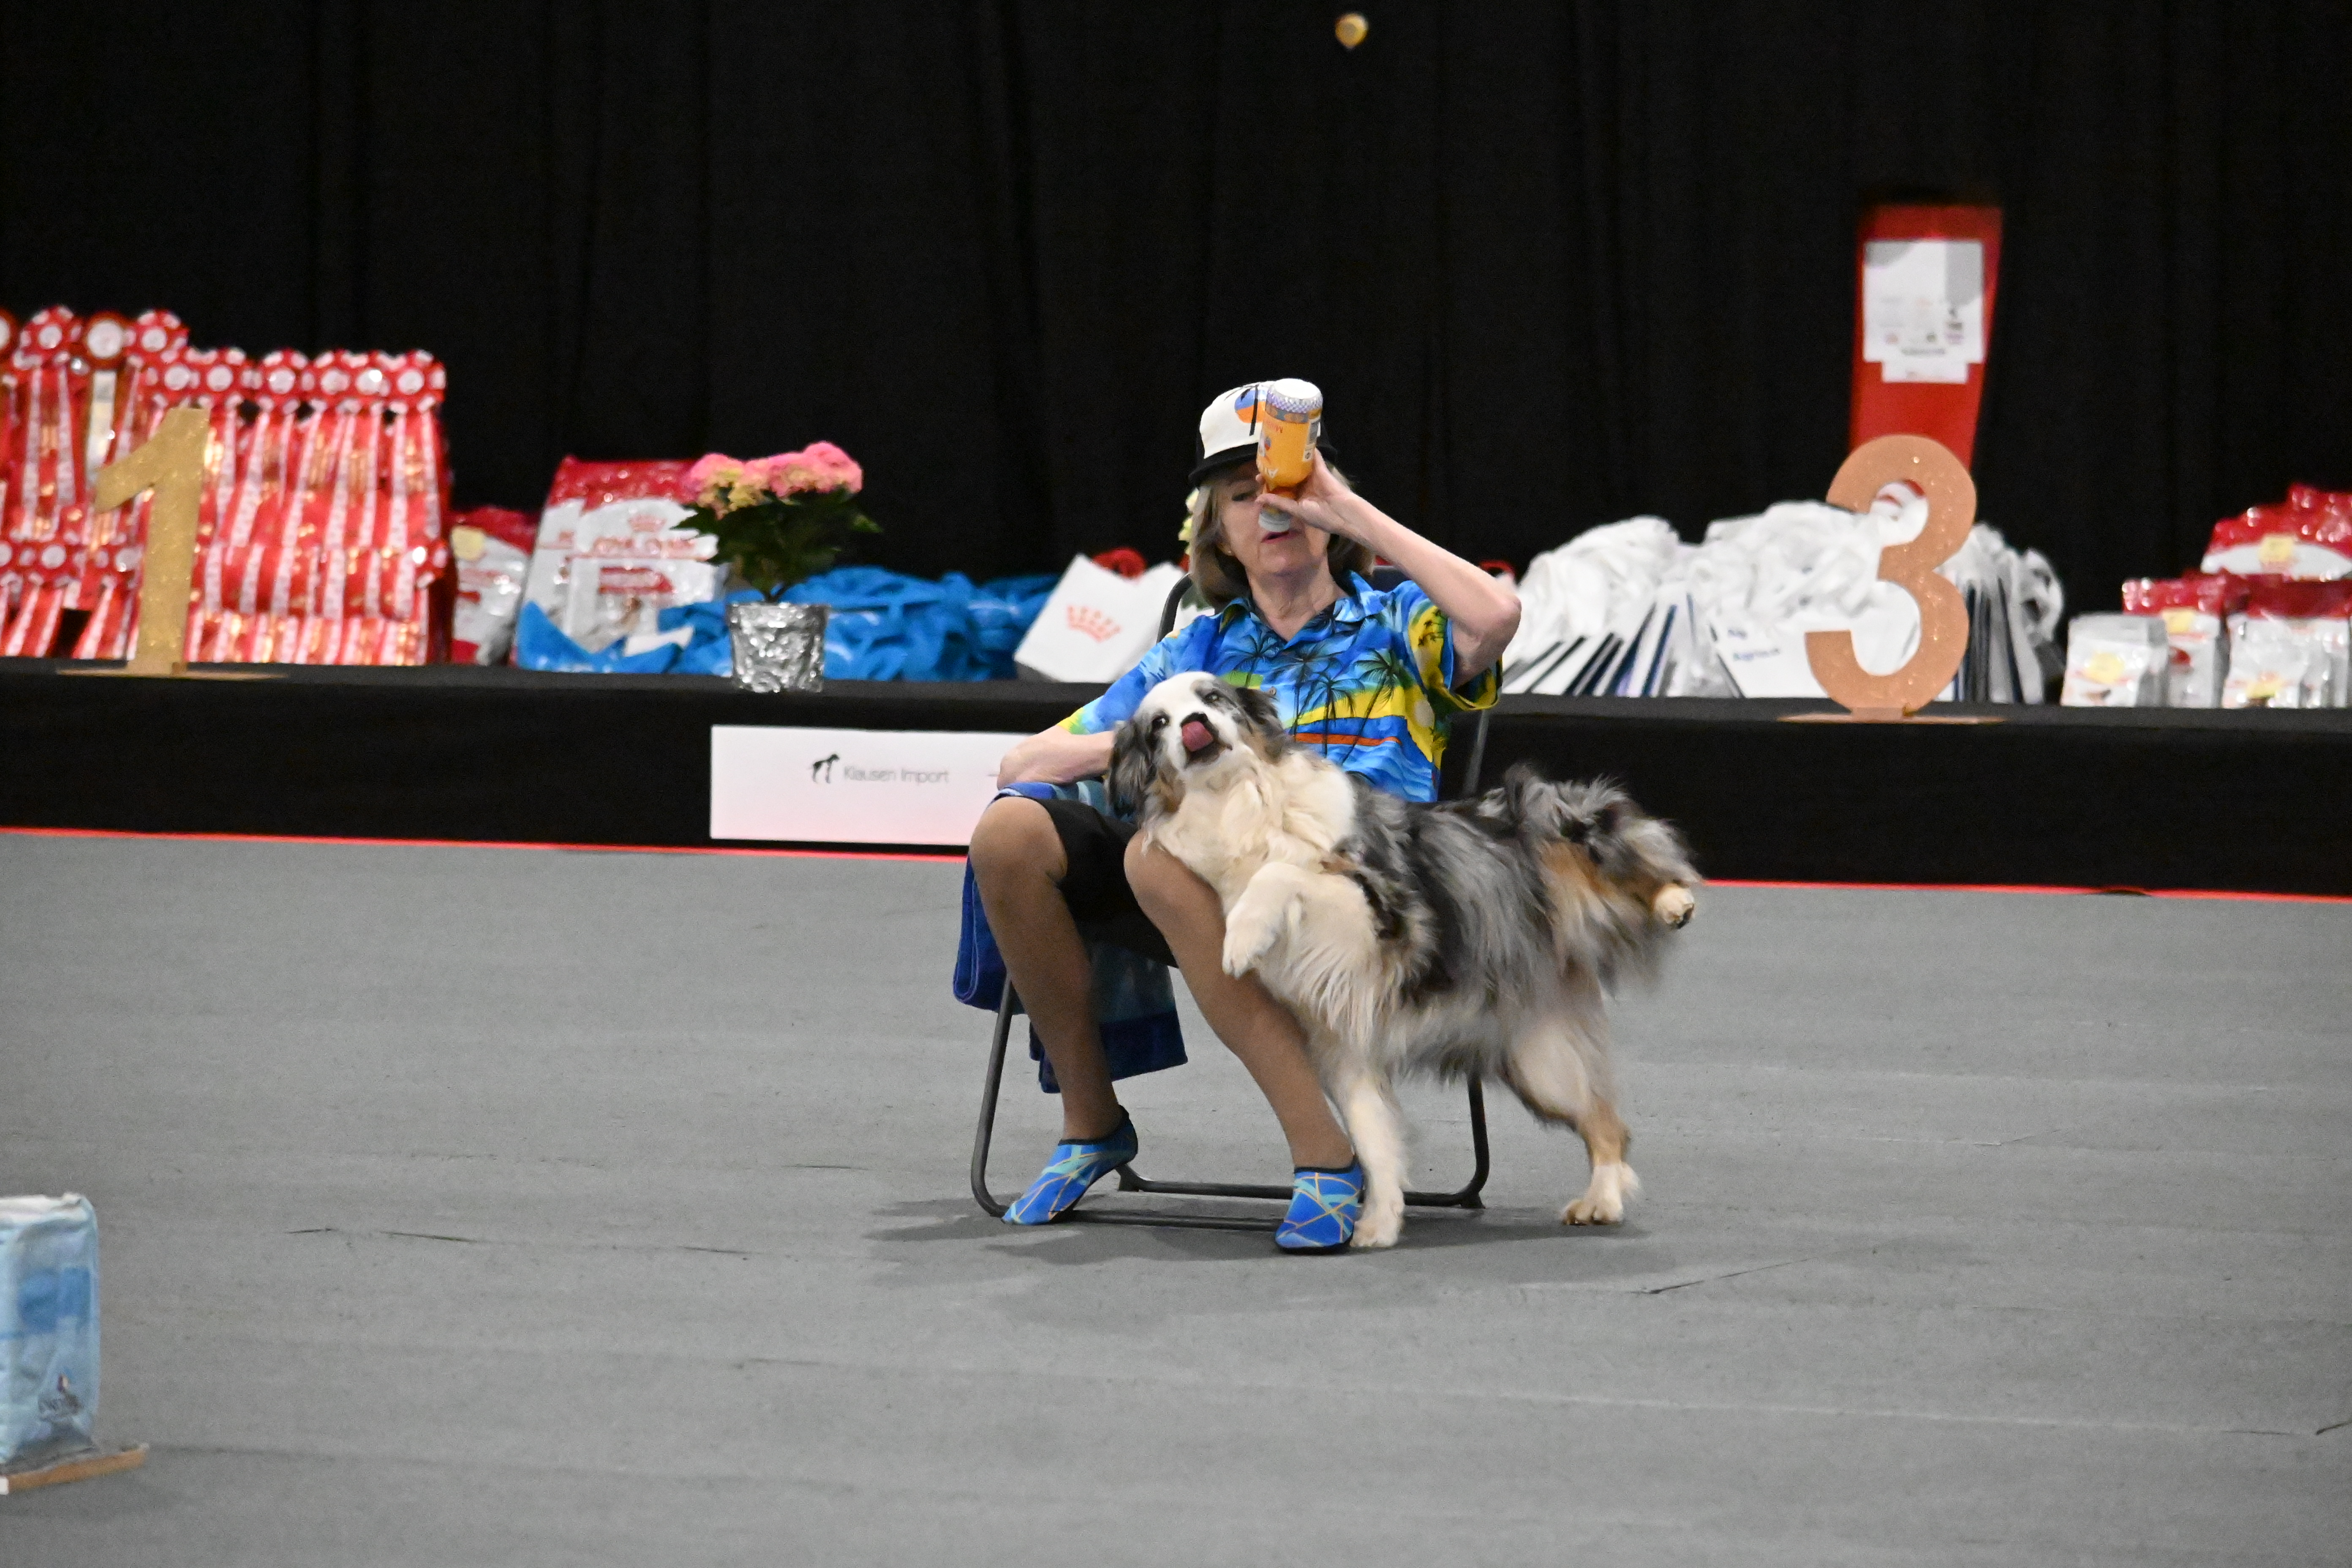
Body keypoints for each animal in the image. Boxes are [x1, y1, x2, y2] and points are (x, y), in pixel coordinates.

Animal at [1110, 670, 1698, 1249]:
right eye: (1158, 724)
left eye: (1213, 697)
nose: (1193, 723)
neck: (1238, 802)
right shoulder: (1339, 1036)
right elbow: (1373, 1134)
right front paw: (1379, 1223)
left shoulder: (1382, 909)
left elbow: (1285, 871)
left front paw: (1242, 937)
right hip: (1543, 1061)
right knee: (1606, 1122)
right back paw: (1600, 1198)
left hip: (1549, 820)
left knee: (1637, 856)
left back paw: (1674, 902)